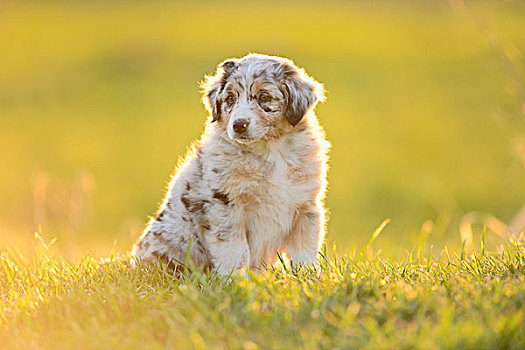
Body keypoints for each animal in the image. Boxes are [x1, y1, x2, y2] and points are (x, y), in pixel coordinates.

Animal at [131, 53, 328, 274]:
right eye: (230, 99)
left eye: (264, 97)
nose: (239, 125)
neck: (270, 150)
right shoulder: (225, 205)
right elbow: (235, 251)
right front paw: (237, 279)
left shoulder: (306, 207)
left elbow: (304, 251)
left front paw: (308, 277)